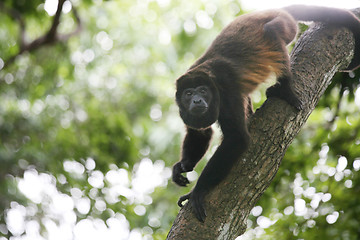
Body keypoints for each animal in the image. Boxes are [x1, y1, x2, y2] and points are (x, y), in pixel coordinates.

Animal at [172, 4, 360, 222]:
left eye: (203, 91)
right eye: (188, 93)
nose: (197, 100)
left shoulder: (226, 92)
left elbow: (237, 138)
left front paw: (197, 191)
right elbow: (200, 132)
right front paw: (183, 166)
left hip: (286, 24)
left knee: (272, 32)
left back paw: (284, 89)